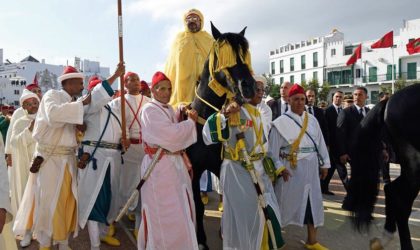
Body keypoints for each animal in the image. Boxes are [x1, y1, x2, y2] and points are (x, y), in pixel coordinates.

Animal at [186, 22, 256, 248]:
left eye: (244, 56)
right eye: (224, 57)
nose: (249, 86)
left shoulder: (220, 165)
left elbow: (228, 199)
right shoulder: (195, 170)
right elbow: (198, 205)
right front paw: (201, 240)